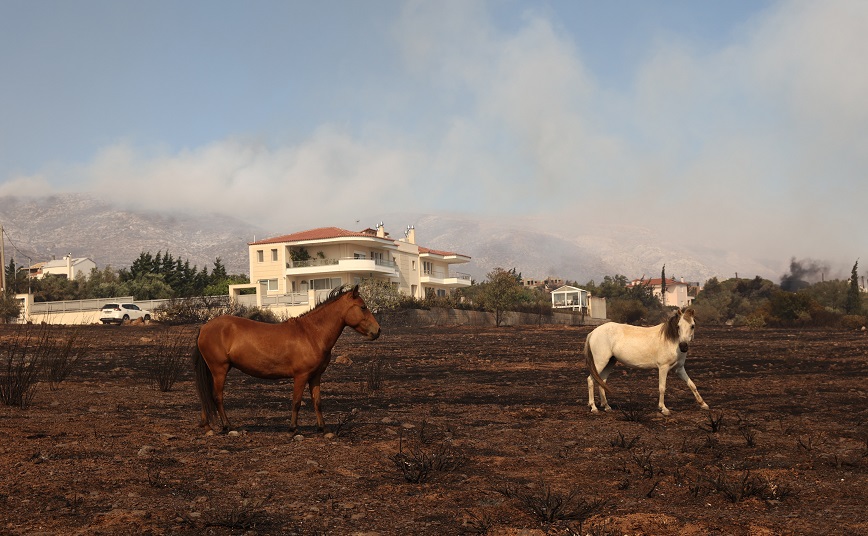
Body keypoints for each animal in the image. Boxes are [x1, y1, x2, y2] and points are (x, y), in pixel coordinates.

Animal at [195, 284, 382, 432]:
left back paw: (207, 426)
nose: (378, 331)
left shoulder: (315, 376)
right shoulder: (300, 376)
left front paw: (322, 428)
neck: (311, 334)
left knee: (206, 395)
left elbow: (317, 401)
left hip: (212, 371)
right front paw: (293, 428)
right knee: (217, 396)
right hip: (219, 370)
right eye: (363, 307)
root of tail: (204, 327)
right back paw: (227, 426)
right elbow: (296, 402)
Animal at [584, 308, 712, 416]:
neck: (670, 340)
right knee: (591, 380)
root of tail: (593, 333)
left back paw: (607, 406)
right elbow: (662, 388)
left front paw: (703, 404)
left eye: (692, 326)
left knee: (602, 381)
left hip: (610, 362)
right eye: (678, 326)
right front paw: (663, 409)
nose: (683, 346)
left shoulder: (679, 369)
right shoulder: (663, 368)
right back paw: (594, 407)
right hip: (600, 362)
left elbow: (692, 385)